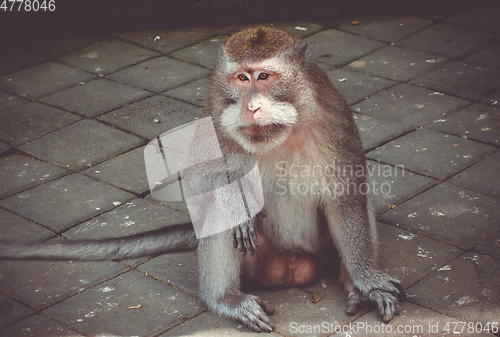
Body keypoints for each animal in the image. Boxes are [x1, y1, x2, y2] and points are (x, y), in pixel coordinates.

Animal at [0, 26, 406, 330]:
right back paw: (225, 299)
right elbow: (199, 183)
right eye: (240, 78)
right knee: (217, 216)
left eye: (263, 76)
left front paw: (366, 280)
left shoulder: (335, 114)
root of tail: (292, 267)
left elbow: (347, 193)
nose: (251, 106)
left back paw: (352, 285)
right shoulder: (212, 112)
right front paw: (237, 204)